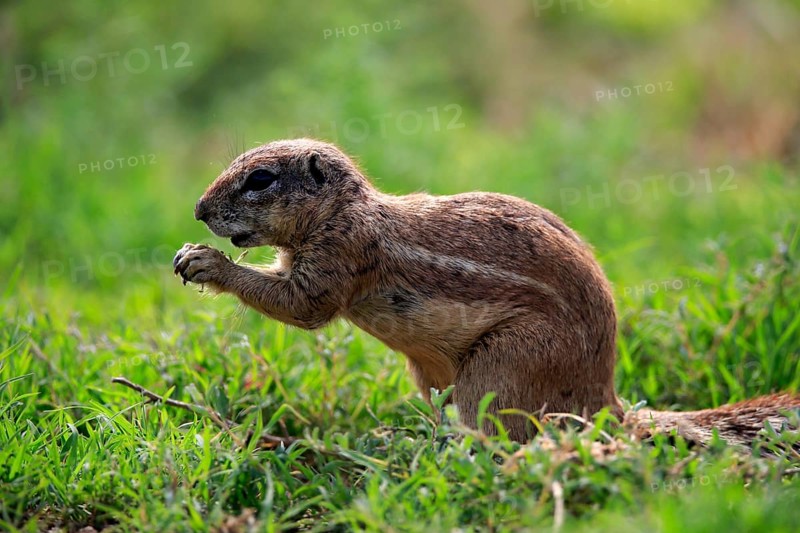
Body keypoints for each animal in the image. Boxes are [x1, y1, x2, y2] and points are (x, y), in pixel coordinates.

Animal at [173, 138, 800, 446]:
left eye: (260, 179)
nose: (198, 210)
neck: (343, 211)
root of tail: (604, 400)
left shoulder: (339, 258)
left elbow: (303, 307)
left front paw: (205, 263)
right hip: (430, 374)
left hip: (501, 371)